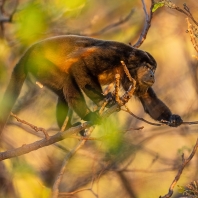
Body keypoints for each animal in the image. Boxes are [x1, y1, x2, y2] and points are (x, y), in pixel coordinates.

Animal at [0, 34, 183, 135]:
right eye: (147, 67)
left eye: (154, 69)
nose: (152, 75)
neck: (129, 62)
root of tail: (30, 51)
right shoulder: (113, 55)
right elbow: (79, 66)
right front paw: (104, 100)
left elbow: (148, 100)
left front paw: (172, 118)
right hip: (40, 65)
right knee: (67, 81)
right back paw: (88, 116)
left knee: (62, 93)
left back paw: (66, 128)